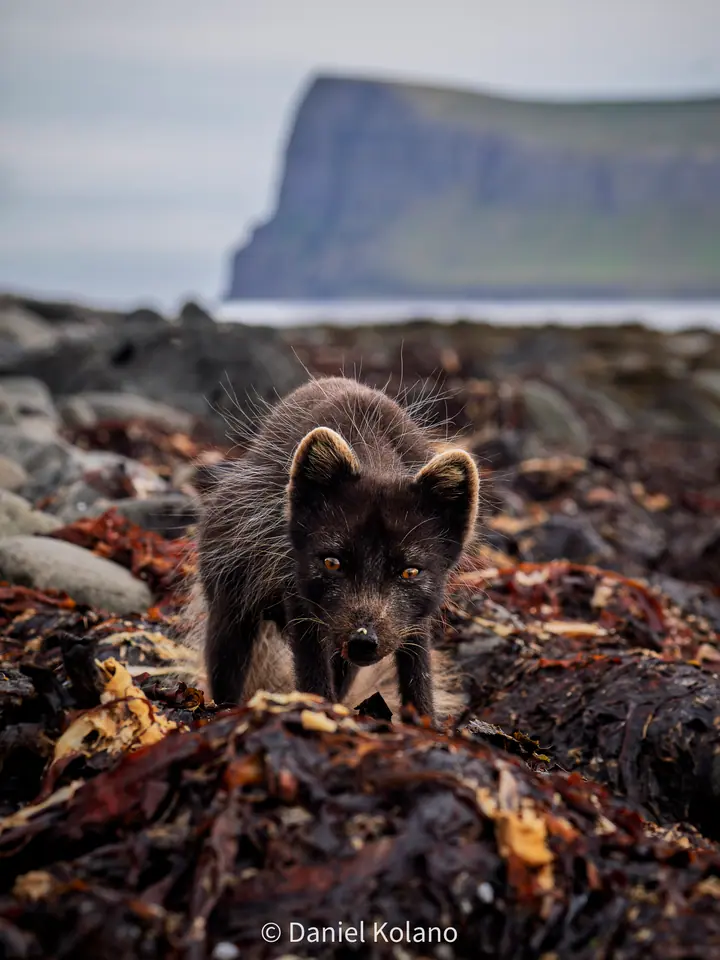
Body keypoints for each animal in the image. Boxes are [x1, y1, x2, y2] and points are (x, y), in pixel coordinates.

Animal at [185, 376, 480, 723]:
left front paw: (425, 723)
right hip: (230, 604)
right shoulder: (299, 596)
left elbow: (418, 675)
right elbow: (312, 672)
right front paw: (318, 711)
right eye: (332, 563)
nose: (363, 641)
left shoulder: (415, 618)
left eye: (410, 571)